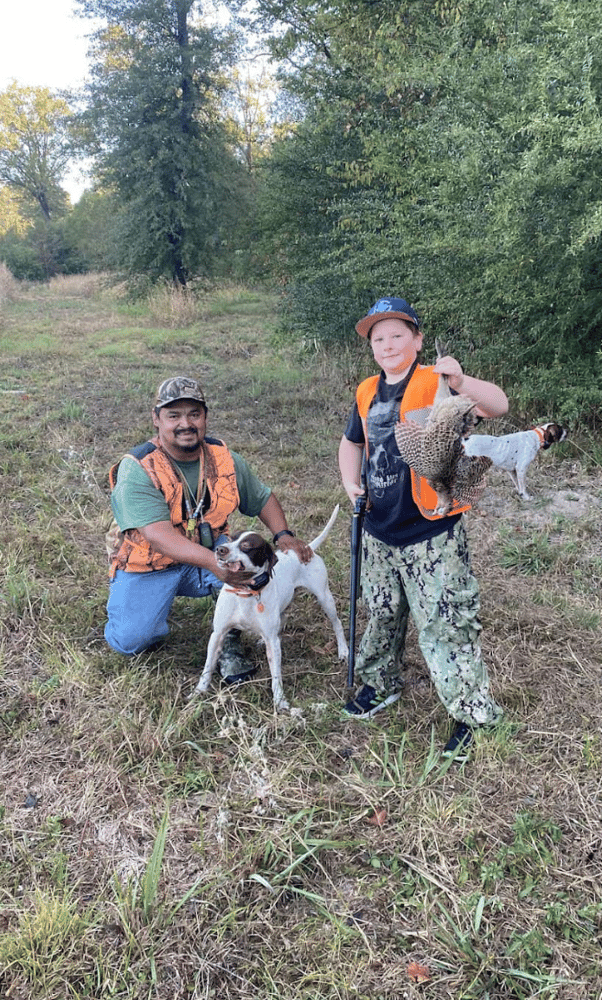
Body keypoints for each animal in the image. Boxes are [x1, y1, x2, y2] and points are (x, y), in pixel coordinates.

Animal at [188, 508, 346, 712]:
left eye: (247, 545)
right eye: (230, 538)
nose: (220, 549)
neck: (246, 592)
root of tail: (306, 548)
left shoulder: (273, 643)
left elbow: (276, 676)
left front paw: (280, 701)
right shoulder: (218, 634)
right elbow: (207, 667)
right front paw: (197, 693)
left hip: (325, 598)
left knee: (337, 623)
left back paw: (343, 650)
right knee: (283, 619)